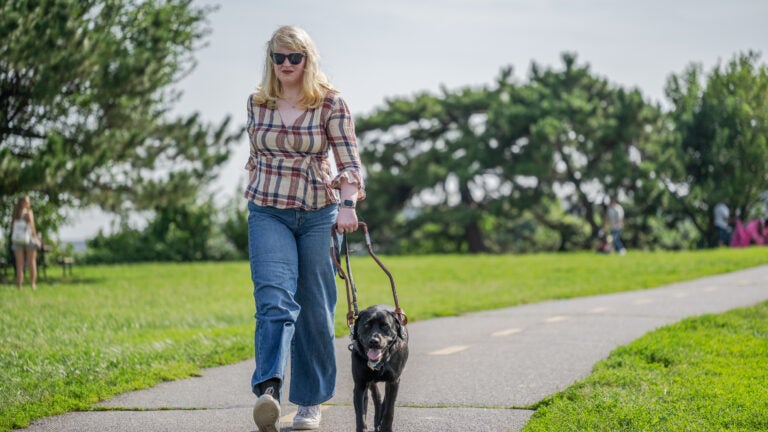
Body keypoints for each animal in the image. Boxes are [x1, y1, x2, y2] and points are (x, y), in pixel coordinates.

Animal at [352, 304, 408, 432]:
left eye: (385, 326)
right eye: (366, 325)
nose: (374, 341)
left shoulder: (394, 381)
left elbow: (389, 410)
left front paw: (386, 428)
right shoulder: (359, 385)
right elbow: (360, 414)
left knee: (384, 401)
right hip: (370, 383)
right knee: (376, 398)